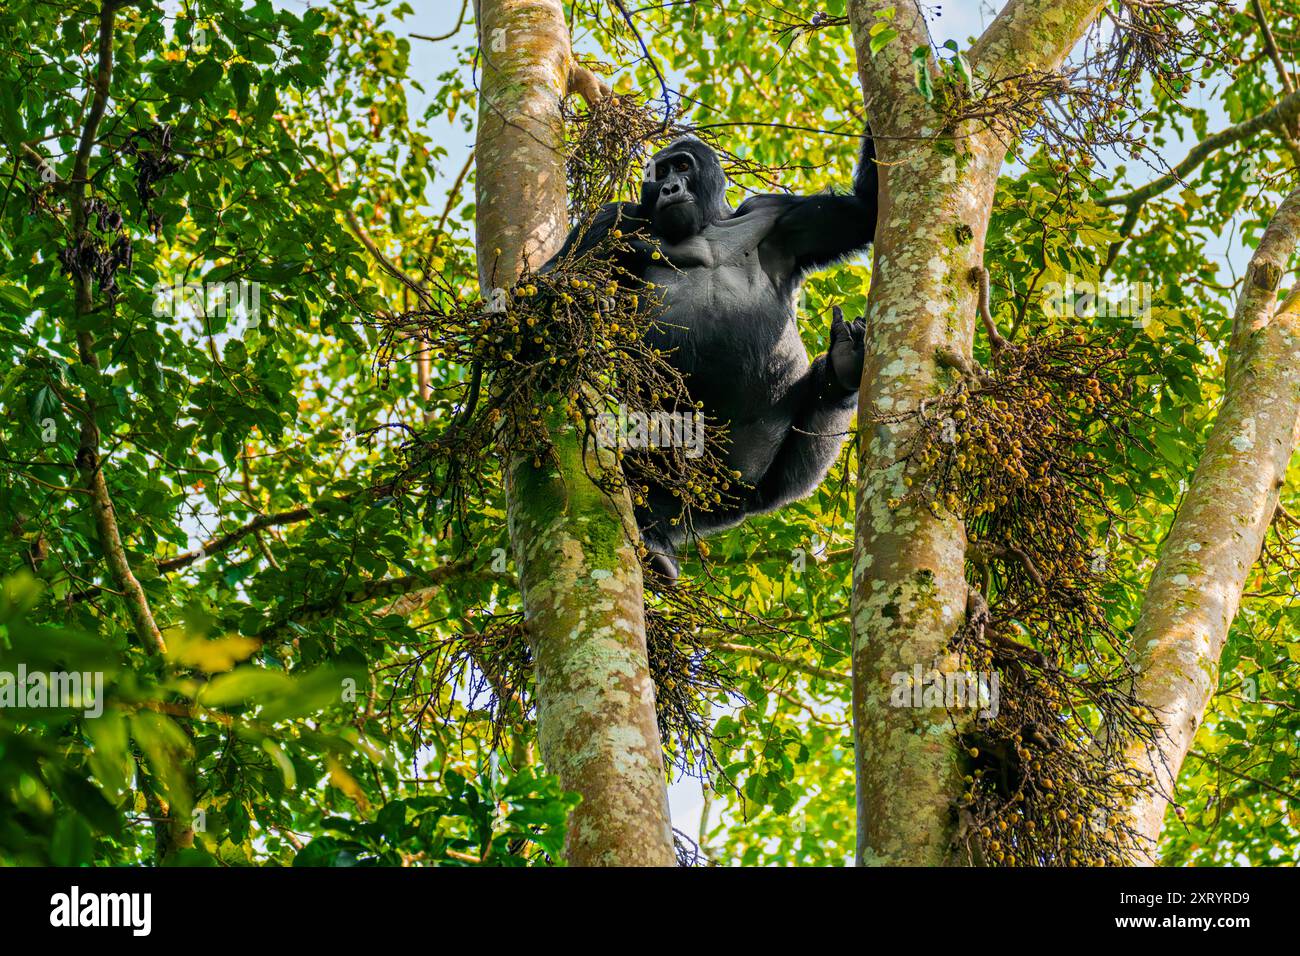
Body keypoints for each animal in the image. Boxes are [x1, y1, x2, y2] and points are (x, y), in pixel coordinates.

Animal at [543, 130, 878, 580]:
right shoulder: (615, 218)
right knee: (639, 469)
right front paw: (571, 305)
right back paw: (654, 539)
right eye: (659, 172)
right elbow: (552, 281)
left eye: (682, 166)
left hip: (762, 492)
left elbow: (865, 210)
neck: (705, 226)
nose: (670, 187)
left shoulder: (777, 213)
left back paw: (844, 367)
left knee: (819, 412)